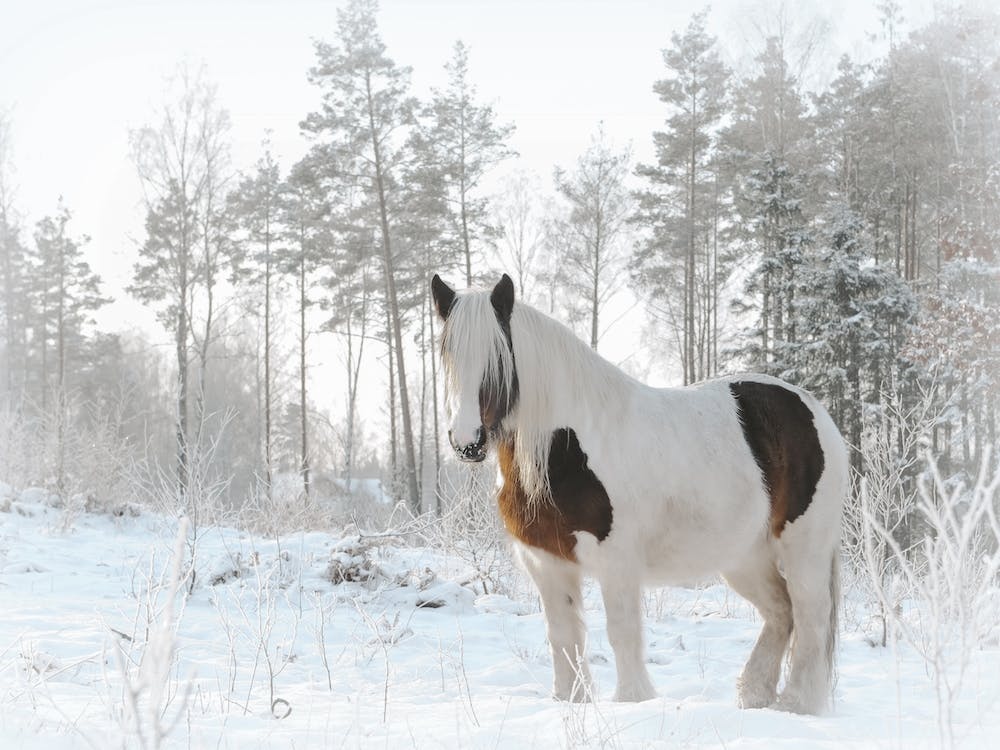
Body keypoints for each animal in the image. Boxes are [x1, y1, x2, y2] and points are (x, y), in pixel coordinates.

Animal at [431, 272, 848, 714]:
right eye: (448, 353)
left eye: (499, 355)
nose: (467, 442)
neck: (564, 447)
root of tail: (812, 409)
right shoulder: (545, 561)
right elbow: (563, 637)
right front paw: (570, 700)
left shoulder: (617, 561)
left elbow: (622, 632)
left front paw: (634, 700)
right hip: (744, 556)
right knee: (782, 612)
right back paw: (755, 696)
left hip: (805, 547)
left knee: (810, 615)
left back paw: (796, 705)